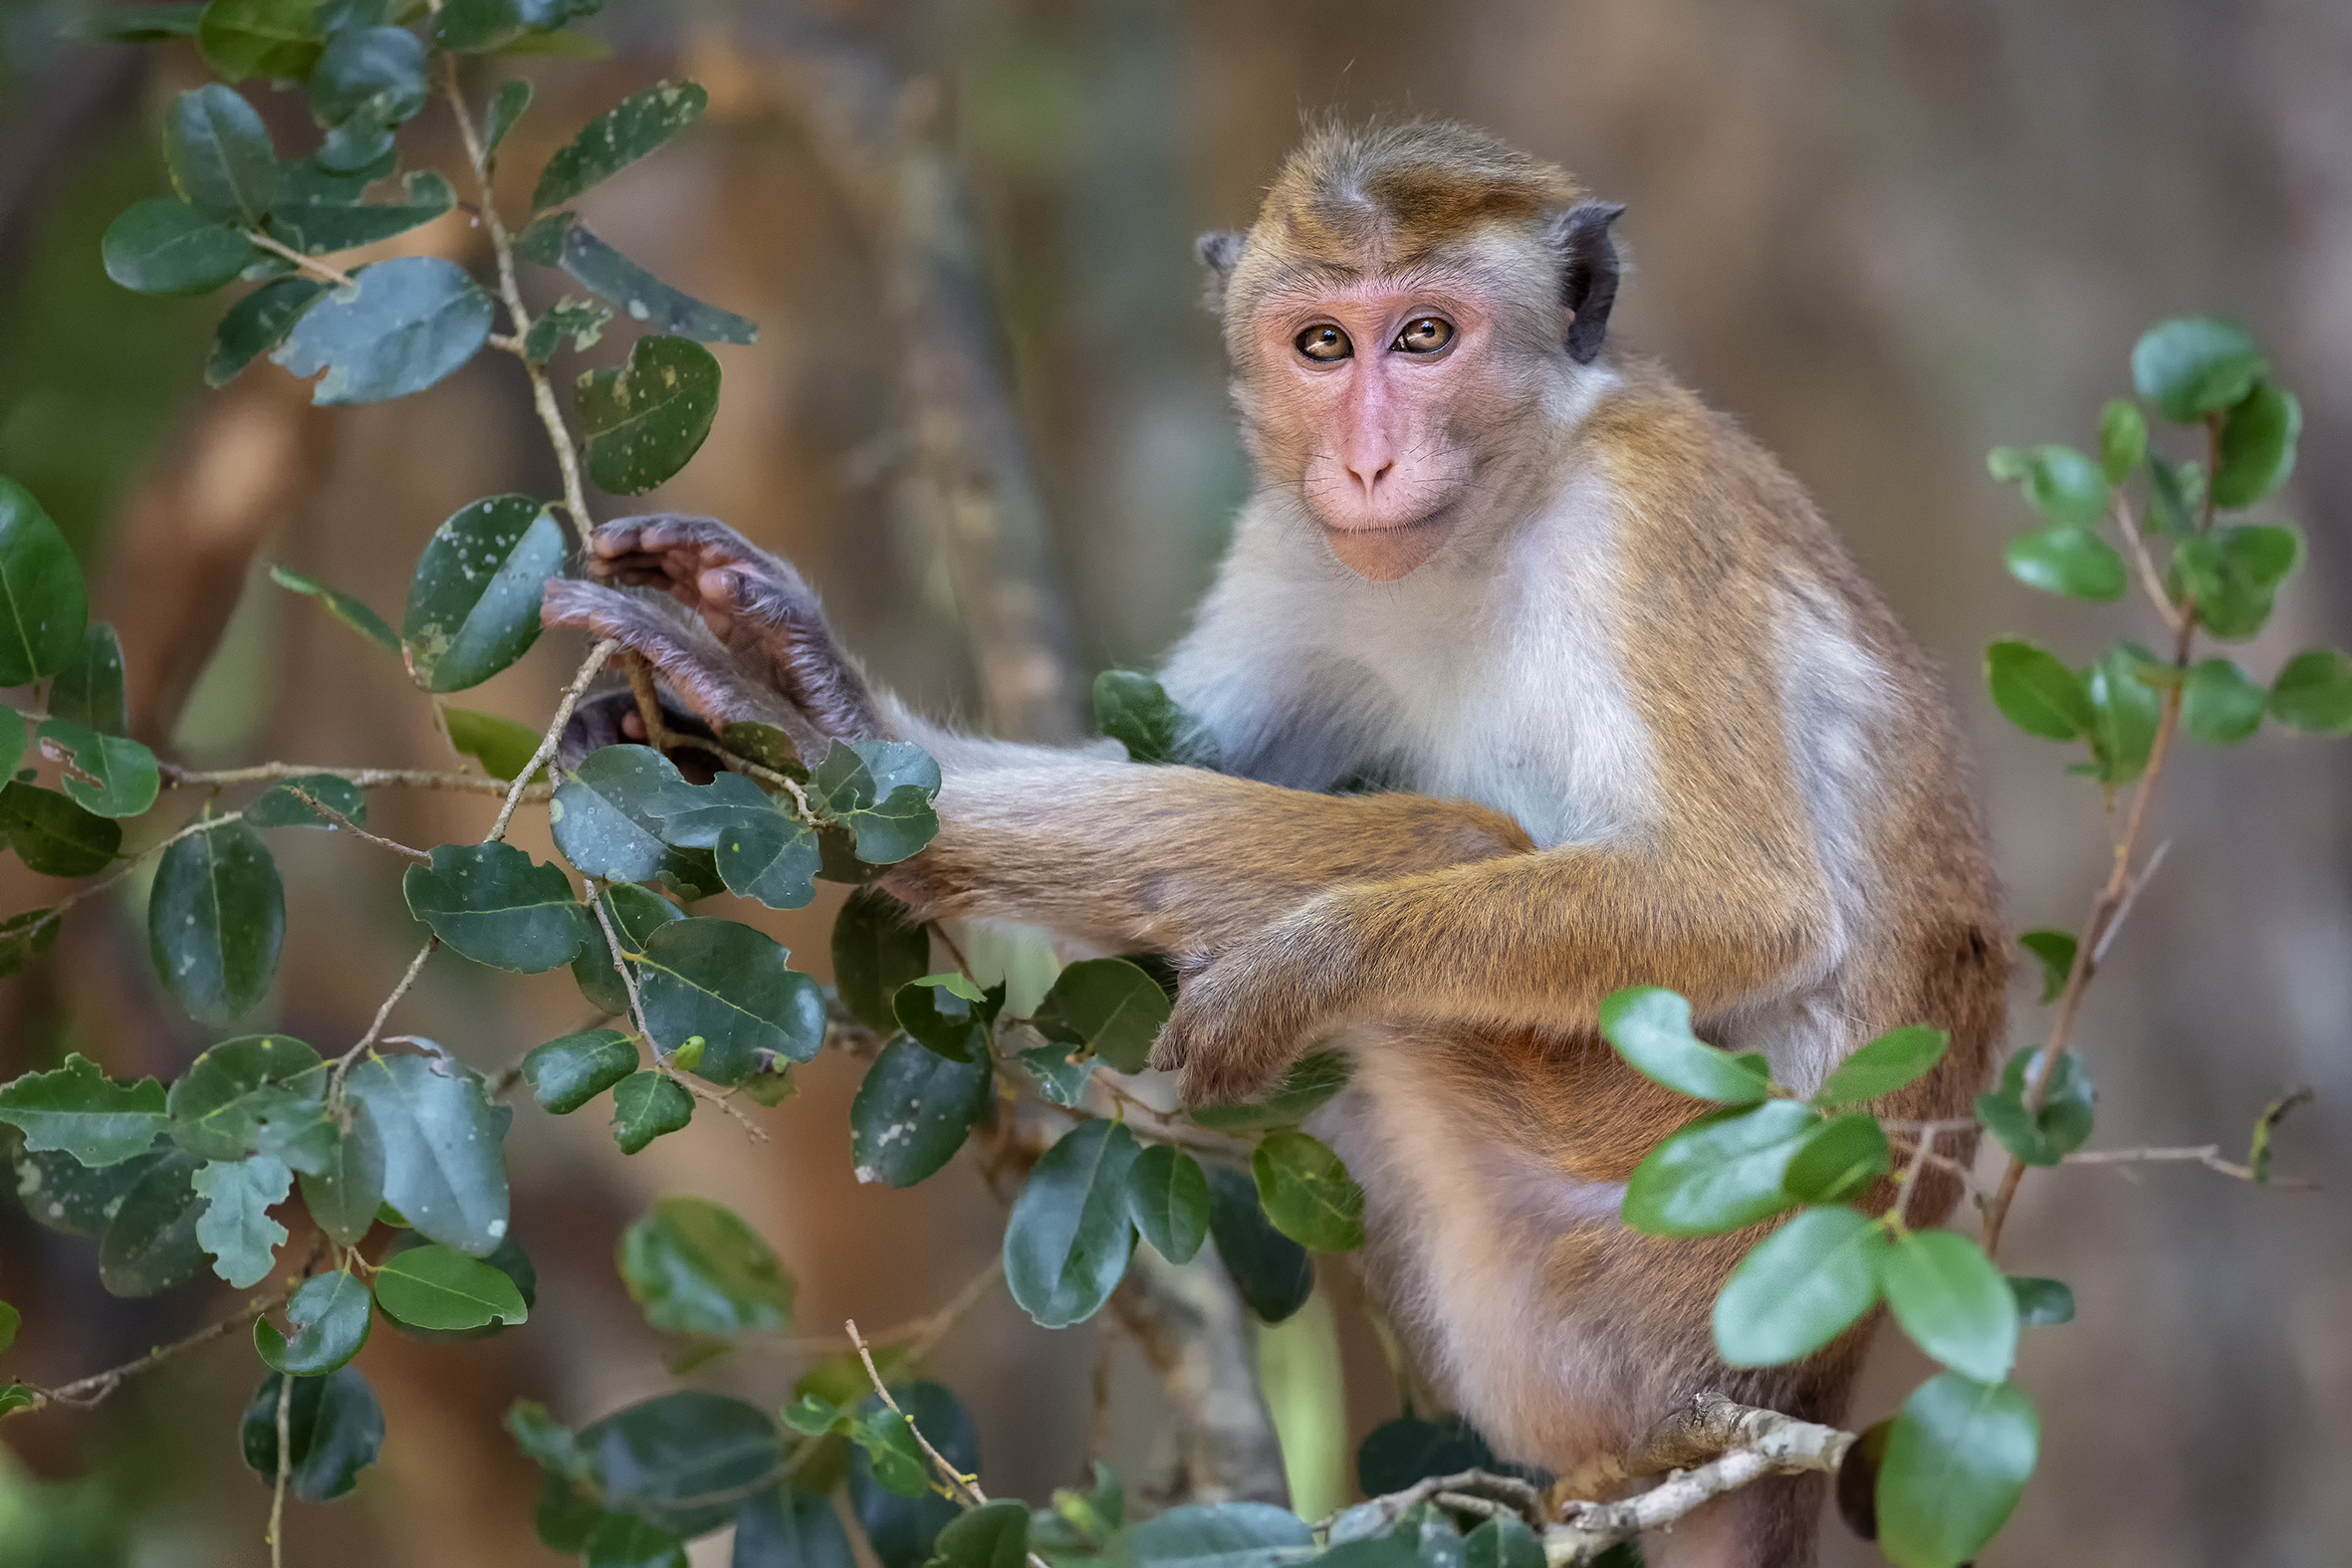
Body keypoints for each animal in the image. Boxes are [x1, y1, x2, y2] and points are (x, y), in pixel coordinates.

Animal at [541, 119, 2008, 1567]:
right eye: (1321, 346)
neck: (1498, 514)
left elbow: (1737, 902)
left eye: (1425, 336)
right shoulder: (1297, 547)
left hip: (1663, 1206)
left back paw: (846, 777)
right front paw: (820, 694)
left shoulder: (1649, 517)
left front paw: (1295, 969)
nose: (1363, 461)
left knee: (1448, 835)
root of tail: (1800, 1375)